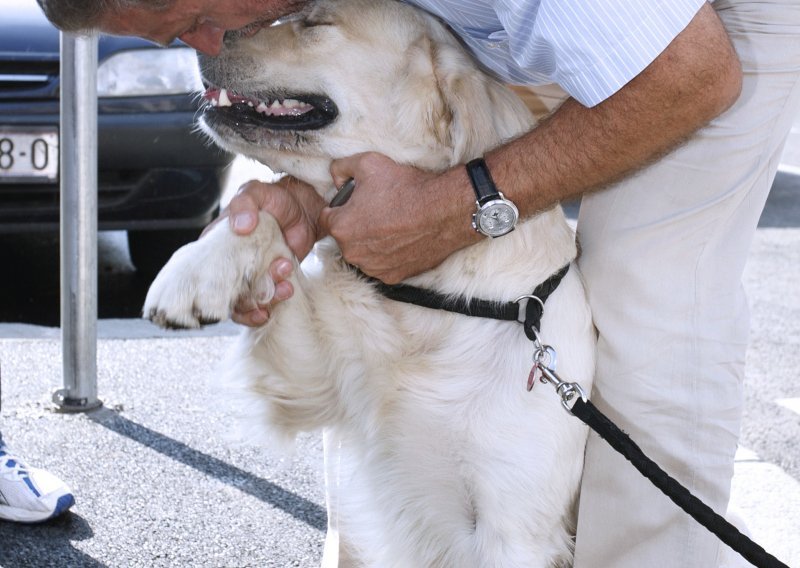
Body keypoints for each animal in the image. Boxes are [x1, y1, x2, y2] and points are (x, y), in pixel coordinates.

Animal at [144, 2, 592, 564]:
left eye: (315, 22)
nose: (195, 41)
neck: (431, 302)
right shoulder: (310, 379)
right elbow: (266, 227)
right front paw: (198, 269)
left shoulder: (516, 530)